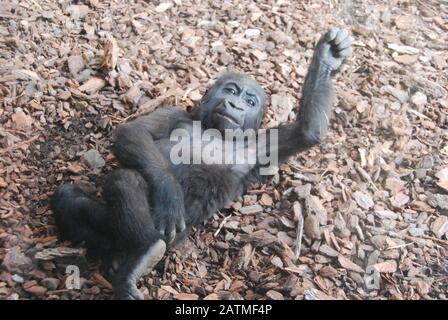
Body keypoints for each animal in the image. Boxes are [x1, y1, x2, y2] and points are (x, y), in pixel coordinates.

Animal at [51, 28, 354, 298]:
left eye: (250, 101)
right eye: (231, 91)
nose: (235, 105)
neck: (215, 130)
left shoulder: (260, 146)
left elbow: (307, 131)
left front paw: (327, 60)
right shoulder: (174, 114)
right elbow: (134, 132)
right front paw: (170, 194)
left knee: (122, 183)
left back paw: (140, 254)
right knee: (74, 198)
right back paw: (131, 254)